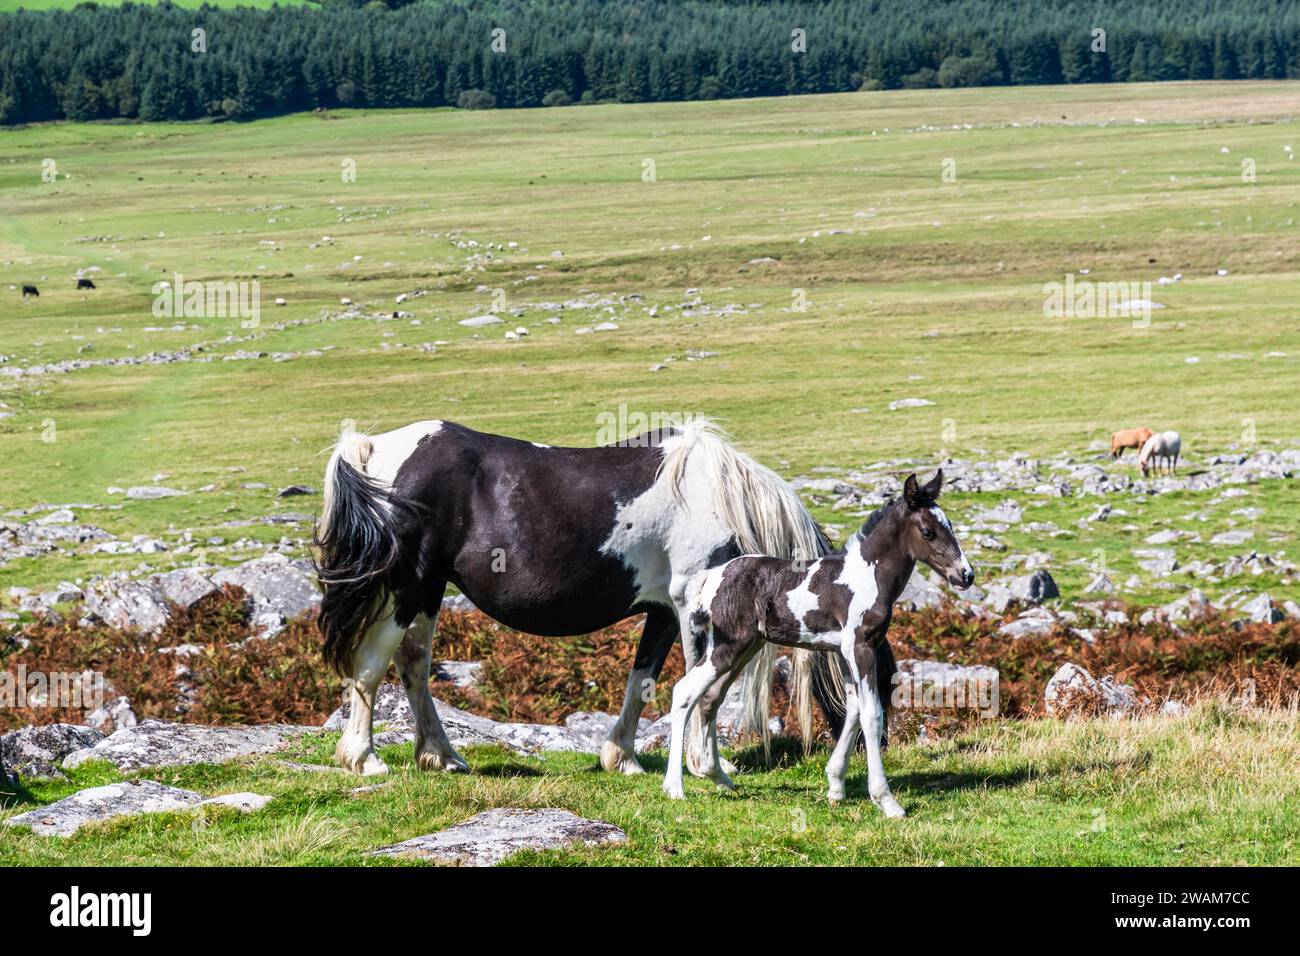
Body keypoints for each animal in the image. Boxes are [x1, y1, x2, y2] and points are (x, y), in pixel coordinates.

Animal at [665, 470, 972, 816]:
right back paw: (675, 787)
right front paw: (886, 800)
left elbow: (853, 708)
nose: (966, 575)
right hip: (727, 648)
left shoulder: (844, 652)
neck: (865, 578)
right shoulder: (860, 648)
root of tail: (713, 577)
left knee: (709, 698)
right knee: (684, 693)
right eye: (928, 531)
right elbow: (872, 714)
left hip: (744, 648)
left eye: (950, 525)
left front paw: (836, 786)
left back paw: (717, 776)